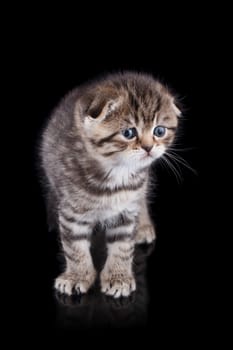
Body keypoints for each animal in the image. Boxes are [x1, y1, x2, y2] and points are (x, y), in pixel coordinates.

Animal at [40, 71, 180, 298]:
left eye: (159, 131)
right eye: (129, 133)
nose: (149, 147)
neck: (116, 174)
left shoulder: (127, 208)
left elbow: (123, 246)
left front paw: (118, 277)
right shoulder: (72, 211)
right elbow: (74, 246)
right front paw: (77, 276)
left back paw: (143, 226)